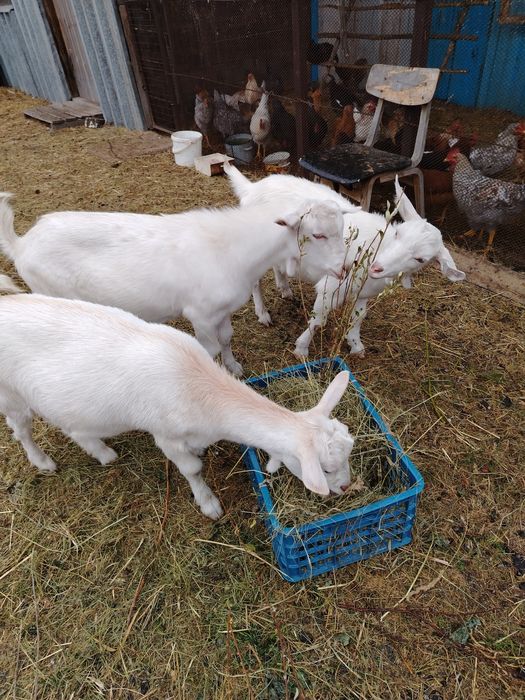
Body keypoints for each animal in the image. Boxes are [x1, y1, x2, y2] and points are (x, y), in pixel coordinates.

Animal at [0, 195, 350, 376]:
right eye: (317, 234)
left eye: (342, 229)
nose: (345, 267)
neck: (231, 249)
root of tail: (22, 245)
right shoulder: (200, 315)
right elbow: (210, 349)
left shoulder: (222, 310)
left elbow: (227, 338)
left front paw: (234, 367)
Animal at [0, 288, 354, 518]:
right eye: (326, 469)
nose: (347, 487)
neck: (201, 389)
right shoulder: (165, 435)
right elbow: (192, 468)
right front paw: (209, 504)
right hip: (10, 393)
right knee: (21, 430)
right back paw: (43, 462)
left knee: (76, 427)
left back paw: (102, 453)